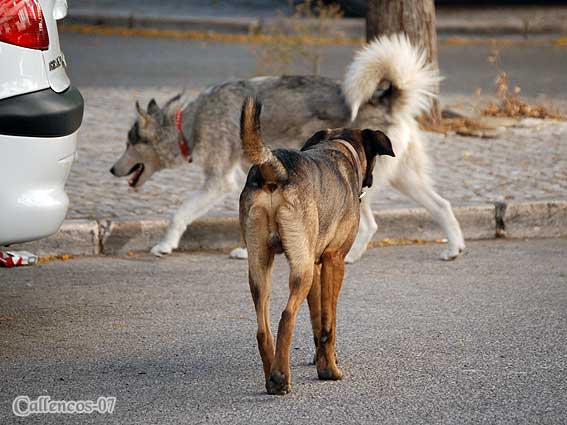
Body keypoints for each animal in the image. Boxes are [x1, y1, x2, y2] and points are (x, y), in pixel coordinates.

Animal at [111, 33, 466, 260]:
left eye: (130, 142)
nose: (112, 169)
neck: (191, 122)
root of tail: (386, 101)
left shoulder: (218, 182)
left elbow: (179, 214)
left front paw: (165, 245)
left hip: (361, 183)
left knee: (371, 224)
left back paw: (351, 256)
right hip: (406, 179)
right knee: (442, 206)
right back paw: (453, 249)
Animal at [239, 97, 394, 394]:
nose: (370, 181)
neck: (340, 147)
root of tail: (274, 167)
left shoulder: (317, 263)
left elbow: (317, 320)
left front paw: (323, 360)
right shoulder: (334, 261)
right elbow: (328, 324)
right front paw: (329, 370)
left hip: (261, 266)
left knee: (263, 329)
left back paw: (273, 375)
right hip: (302, 271)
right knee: (287, 315)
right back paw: (280, 378)